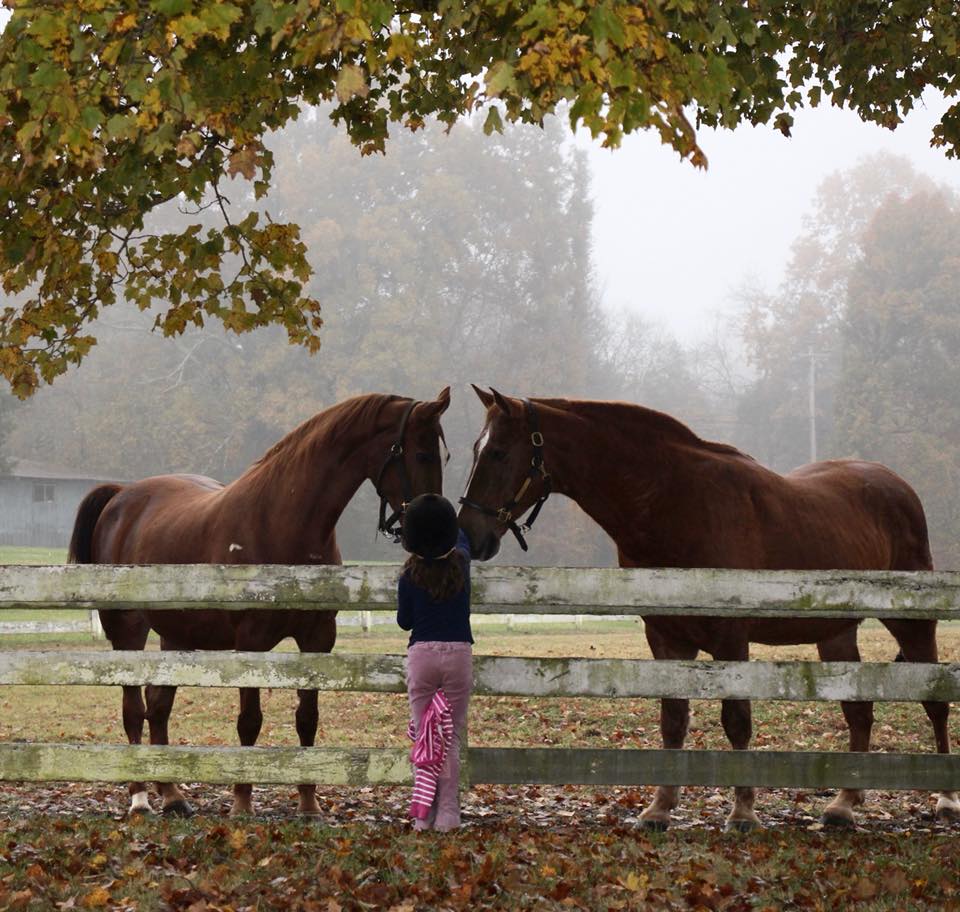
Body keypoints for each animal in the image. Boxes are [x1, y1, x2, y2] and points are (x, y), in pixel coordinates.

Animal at [69, 388, 452, 816]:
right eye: (422, 454)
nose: (439, 534)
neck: (281, 520)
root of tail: (121, 497)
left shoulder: (318, 640)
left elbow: (307, 719)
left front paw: (308, 803)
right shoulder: (250, 642)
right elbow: (249, 721)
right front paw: (242, 802)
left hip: (178, 636)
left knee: (158, 706)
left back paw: (172, 795)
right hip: (129, 632)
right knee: (134, 709)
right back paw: (139, 799)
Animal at [460, 388, 960, 832]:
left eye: (499, 453)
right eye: (476, 449)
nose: (471, 534)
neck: (675, 502)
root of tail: (896, 485)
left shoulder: (729, 636)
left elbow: (736, 721)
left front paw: (742, 813)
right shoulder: (666, 638)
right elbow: (673, 720)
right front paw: (660, 809)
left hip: (912, 625)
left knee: (935, 703)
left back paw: (944, 799)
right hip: (835, 634)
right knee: (859, 712)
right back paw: (844, 803)